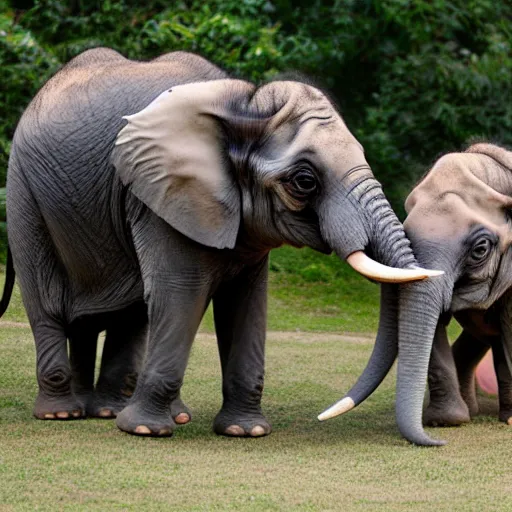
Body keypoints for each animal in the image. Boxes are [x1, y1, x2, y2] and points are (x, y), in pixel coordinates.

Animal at [2, 47, 438, 440]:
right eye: (304, 181)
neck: (245, 107)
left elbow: (246, 302)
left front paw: (246, 431)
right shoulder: (163, 200)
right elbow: (180, 291)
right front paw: (144, 431)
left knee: (127, 312)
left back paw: (110, 411)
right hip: (23, 191)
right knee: (49, 303)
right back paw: (63, 414)